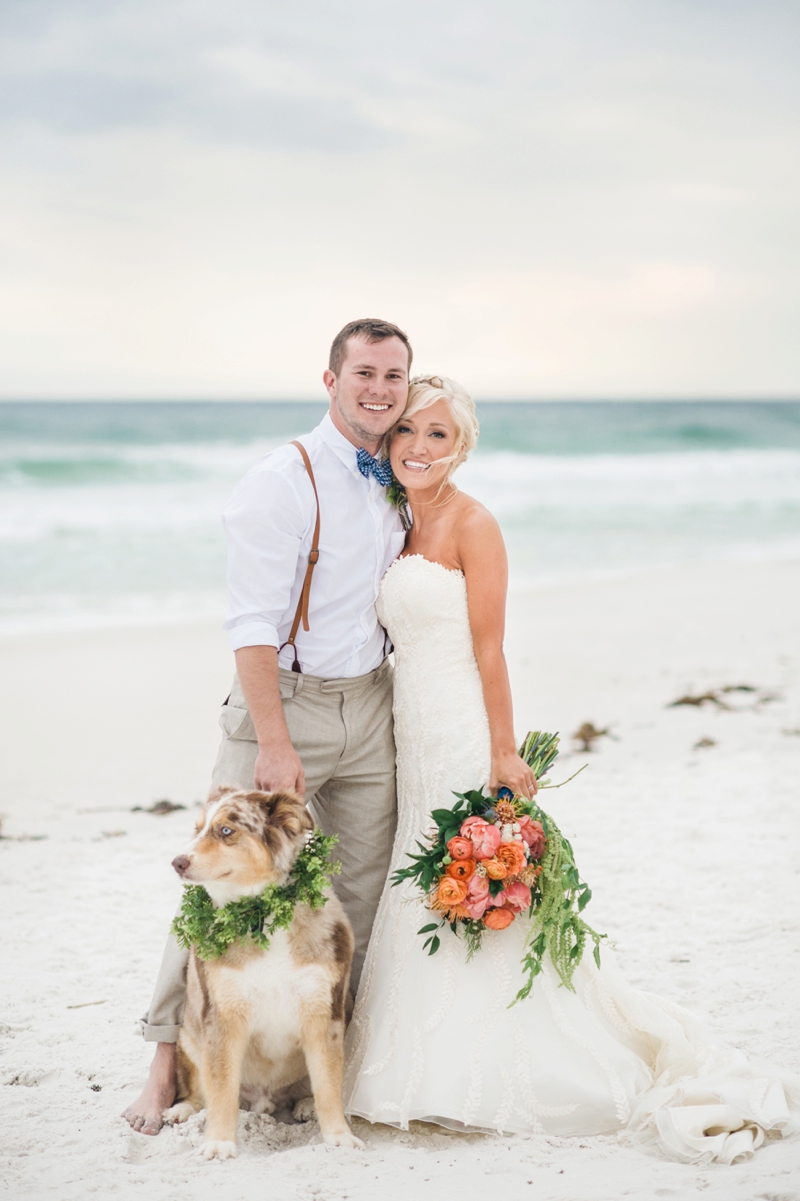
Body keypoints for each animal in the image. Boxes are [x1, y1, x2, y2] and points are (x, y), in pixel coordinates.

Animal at [162, 783, 360, 1157]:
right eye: (198, 828)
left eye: (226, 831)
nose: (177, 862)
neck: (263, 915)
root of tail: (265, 1100)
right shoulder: (222, 1015)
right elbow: (221, 1089)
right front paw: (218, 1143)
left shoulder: (323, 1011)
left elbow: (328, 1084)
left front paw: (339, 1136)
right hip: (188, 1035)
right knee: (200, 1092)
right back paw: (180, 1110)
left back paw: (305, 1104)